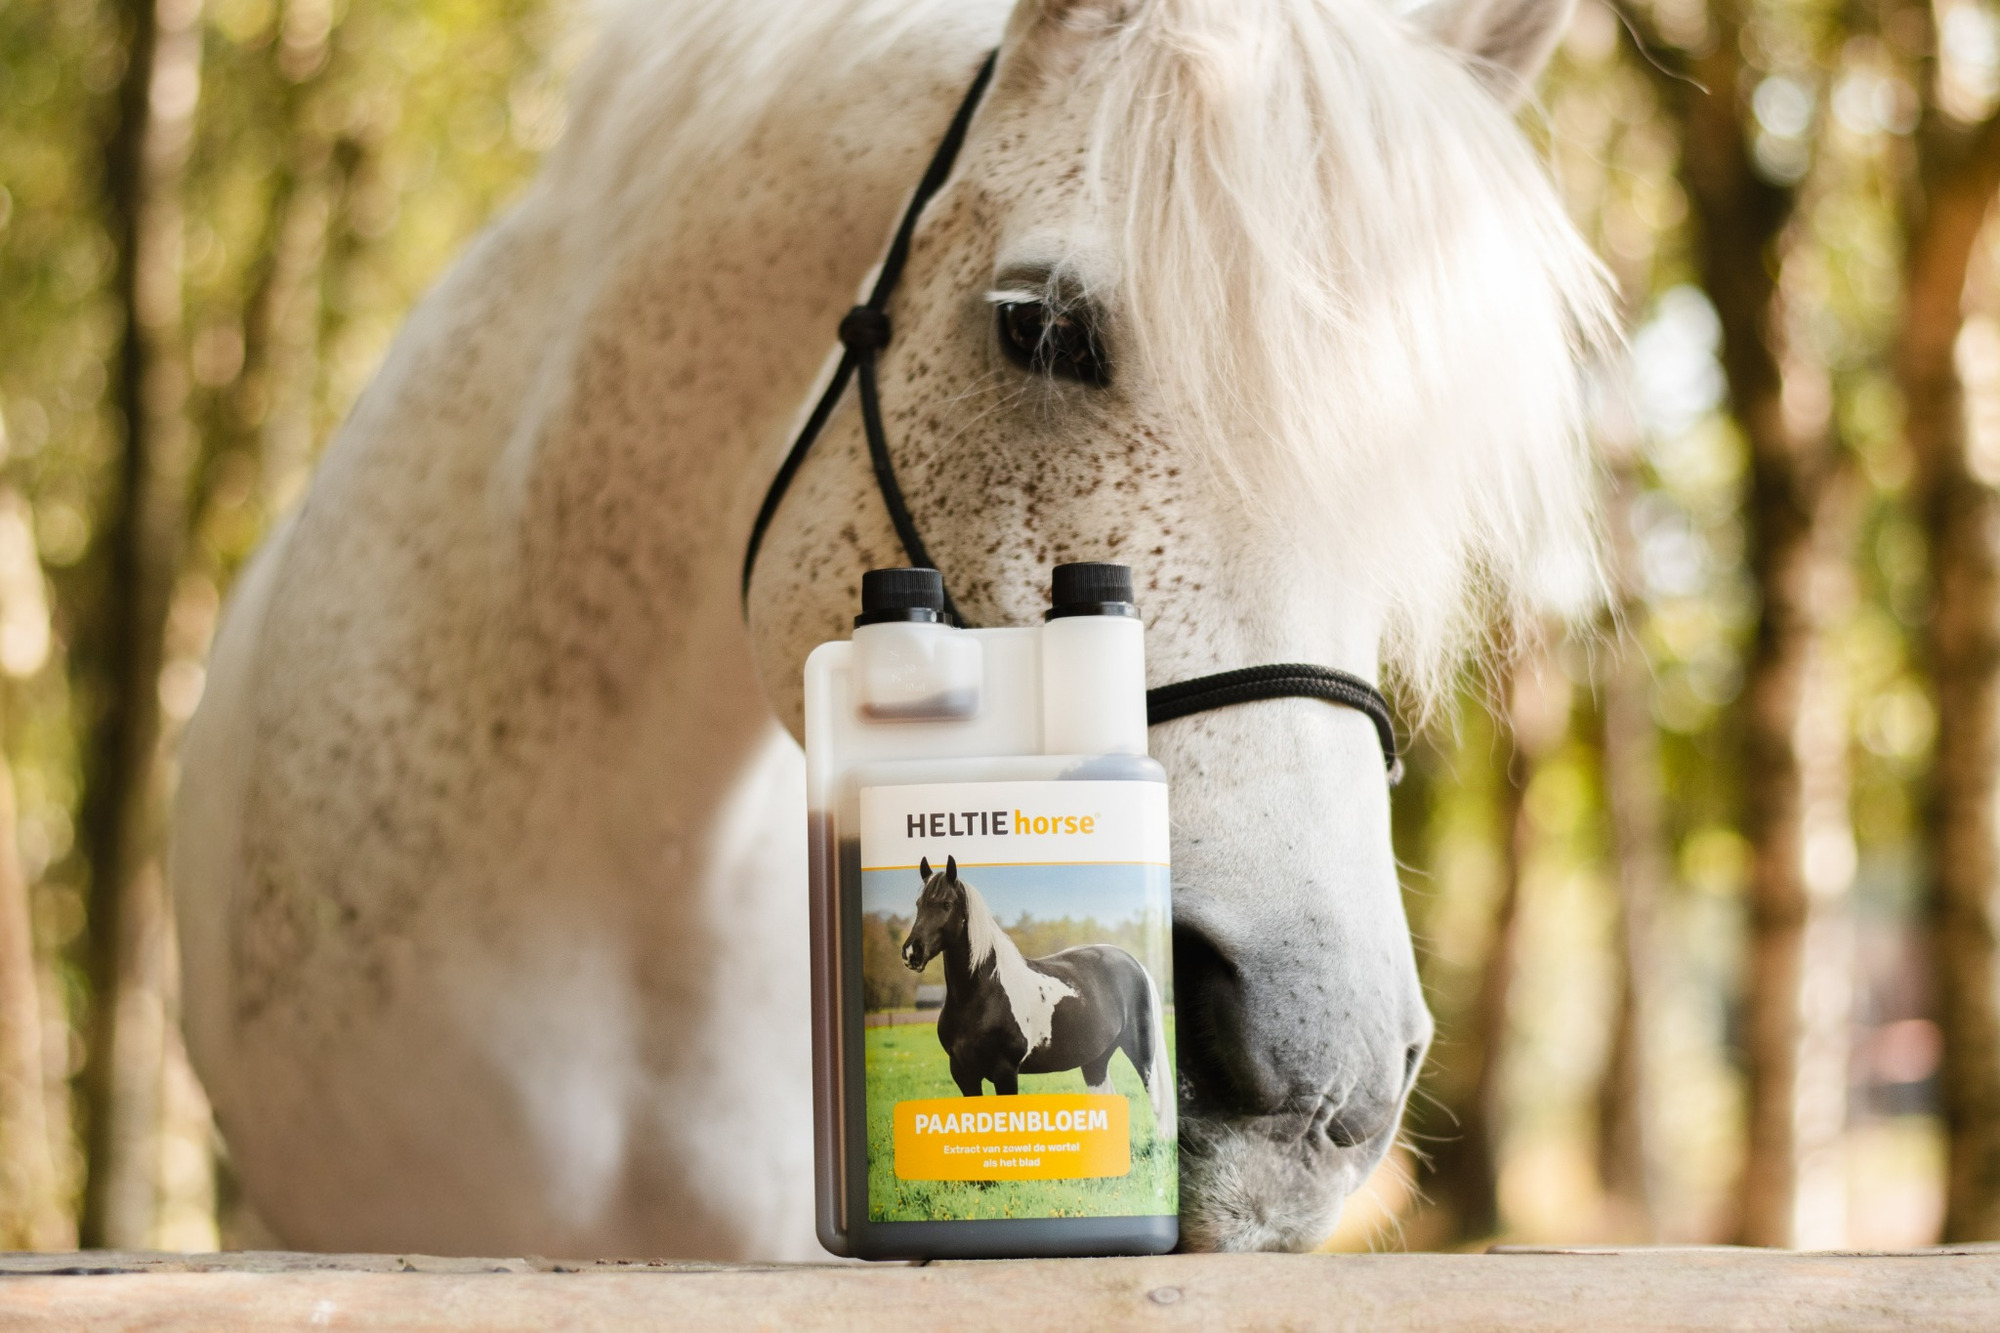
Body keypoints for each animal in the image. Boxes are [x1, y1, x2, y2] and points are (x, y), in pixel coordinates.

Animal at [901, 856, 1176, 1139]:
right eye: (919, 905)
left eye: (946, 904)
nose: (912, 952)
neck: (982, 996)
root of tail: (1135, 963)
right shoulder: (963, 1073)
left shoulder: (1005, 1072)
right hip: (1095, 1059)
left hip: (1141, 1051)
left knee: (1157, 1104)